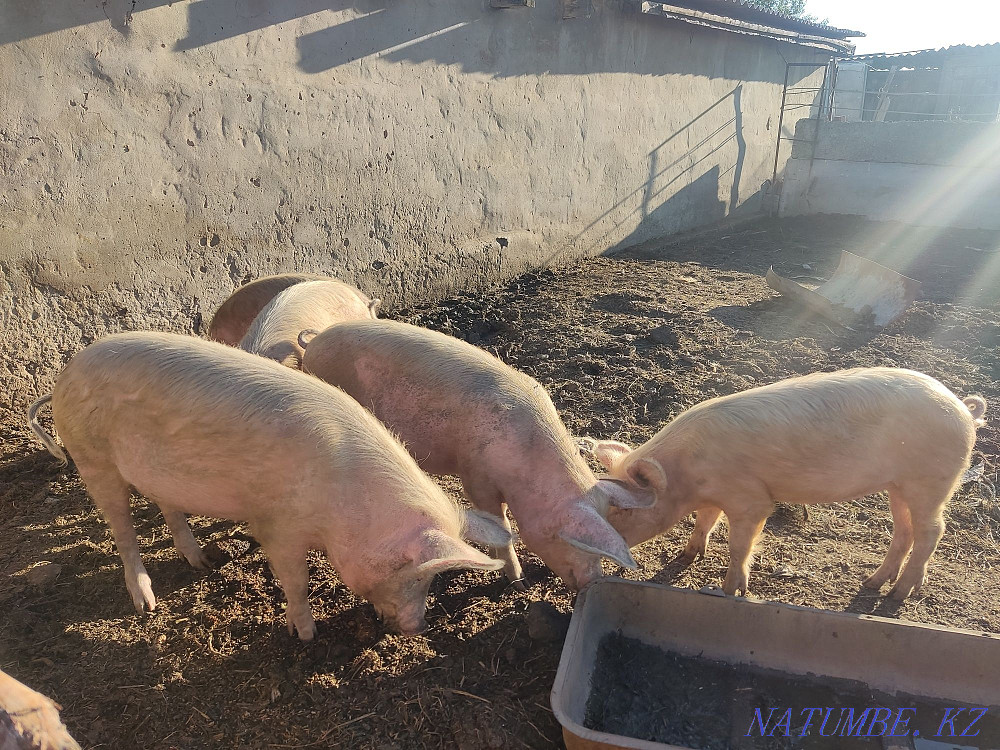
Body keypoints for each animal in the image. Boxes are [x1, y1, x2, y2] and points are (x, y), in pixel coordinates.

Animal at [26, 332, 509, 637]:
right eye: (415, 575)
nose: (420, 628)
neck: (346, 503)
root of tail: (63, 377)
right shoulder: (278, 525)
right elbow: (295, 579)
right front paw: (305, 635)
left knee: (169, 508)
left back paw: (203, 563)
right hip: (92, 458)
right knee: (123, 532)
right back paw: (147, 604)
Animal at [299, 320, 653, 592]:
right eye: (569, 540)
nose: (591, 583)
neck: (525, 466)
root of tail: (314, 342)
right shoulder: (476, 477)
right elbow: (502, 529)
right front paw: (519, 583)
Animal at [583, 367, 986, 600]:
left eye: (622, 511)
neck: (688, 475)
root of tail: (963, 409)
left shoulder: (749, 498)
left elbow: (739, 544)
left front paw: (731, 590)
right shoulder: (715, 495)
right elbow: (705, 521)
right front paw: (688, 554)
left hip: (931, 480)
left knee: (933, 529)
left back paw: (898, 595)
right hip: (898, 486)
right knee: (904, 530)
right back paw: (872, 584)